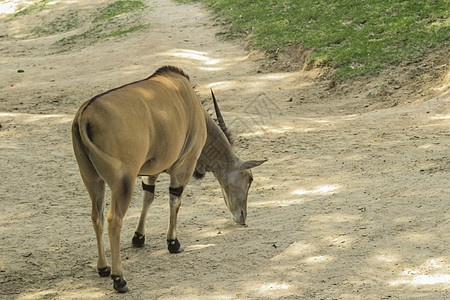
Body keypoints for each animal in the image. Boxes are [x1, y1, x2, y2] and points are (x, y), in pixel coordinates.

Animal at [71, 66, 266, 292]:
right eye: (250, 179)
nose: (242, 217)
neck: (193, 106)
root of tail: (86, 115)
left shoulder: (152, 169)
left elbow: (148, 196)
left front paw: (139, 237)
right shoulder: (184, 167)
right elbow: (175, 201)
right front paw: (173, 243)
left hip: (93, 181)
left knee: (97, 216)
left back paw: (103, 268)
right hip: (122, 183)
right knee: (113, 219)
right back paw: (119, 279)